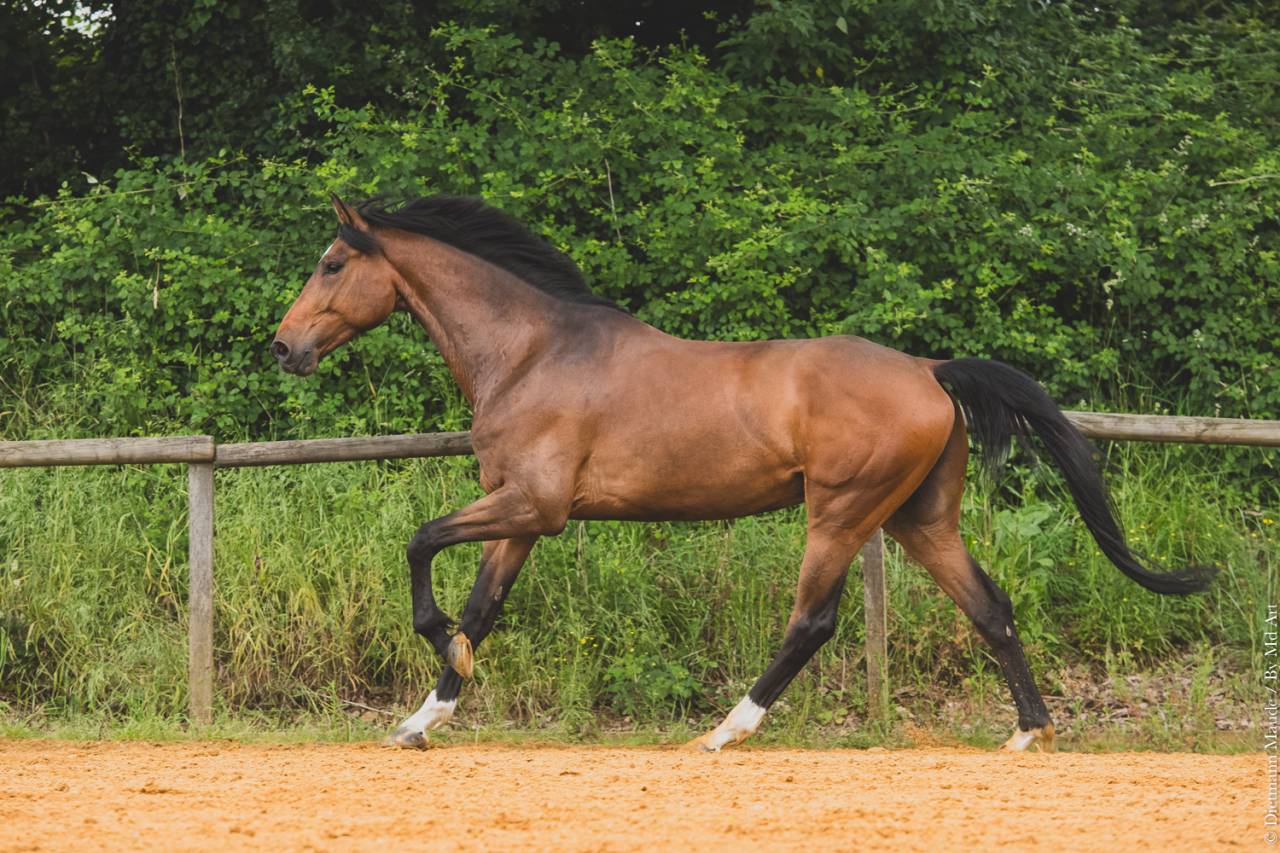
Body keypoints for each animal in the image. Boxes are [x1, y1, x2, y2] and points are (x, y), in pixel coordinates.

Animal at [271, 195, 1214, 752]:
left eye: (331, 263)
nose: (284, 347)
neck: (532, 352)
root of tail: (929, 370)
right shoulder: (522, 515)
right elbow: (482, 608)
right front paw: (424, 715)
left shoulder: (532, 505)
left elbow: (420, 545)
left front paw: (441, 656)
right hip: (918, 520)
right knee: (990, 607)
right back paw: (1028, 732)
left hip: (840, 514)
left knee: (812, 622)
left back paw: (726, 730)